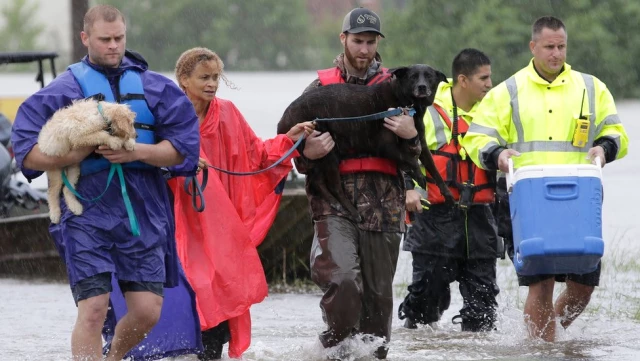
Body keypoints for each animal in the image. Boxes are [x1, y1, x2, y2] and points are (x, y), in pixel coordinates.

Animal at [278, 64, 452, 219]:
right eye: (413, 77)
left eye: (429, 76)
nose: (422, 87)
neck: (403, 102)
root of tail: (283, 121)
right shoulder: (385, 146)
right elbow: (410, 159)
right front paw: (418, 175)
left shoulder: (420, 142)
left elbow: (433, 168)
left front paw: (447, 193)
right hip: (328, 150)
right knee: (333, 186)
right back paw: (351, 211)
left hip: (323, 154)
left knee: (318, 181)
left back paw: (335, 204)